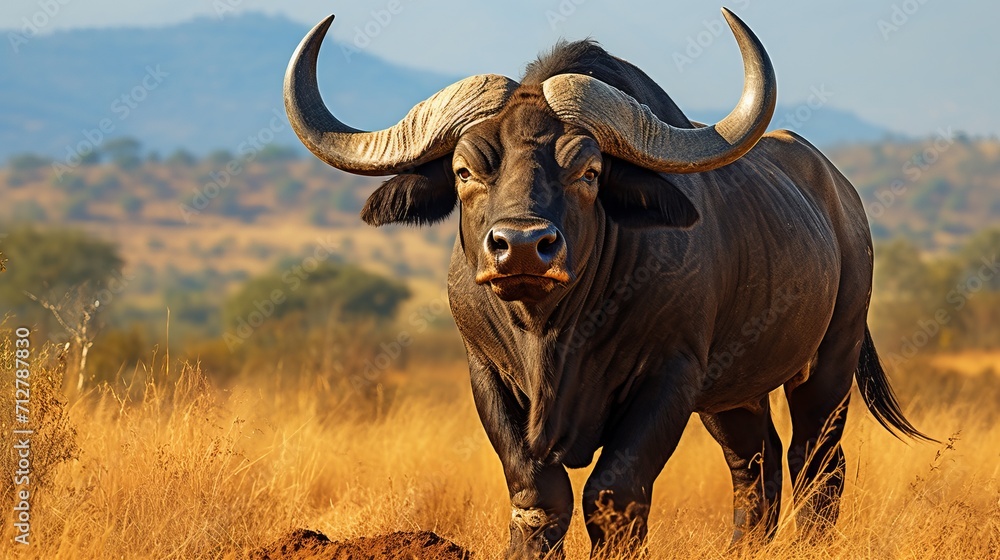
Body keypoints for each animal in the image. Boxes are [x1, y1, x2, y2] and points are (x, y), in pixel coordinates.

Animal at [284, 9, 930, 558]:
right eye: (465, 171)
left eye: (589, 171)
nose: (523, 246)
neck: (551, 335)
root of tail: (842, 199)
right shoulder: (486, 373)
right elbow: (539, 497)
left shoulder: (669, 375)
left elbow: (614, 495)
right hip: (734, 392)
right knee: (756, 464)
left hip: (829, 361)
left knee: (817, 461)